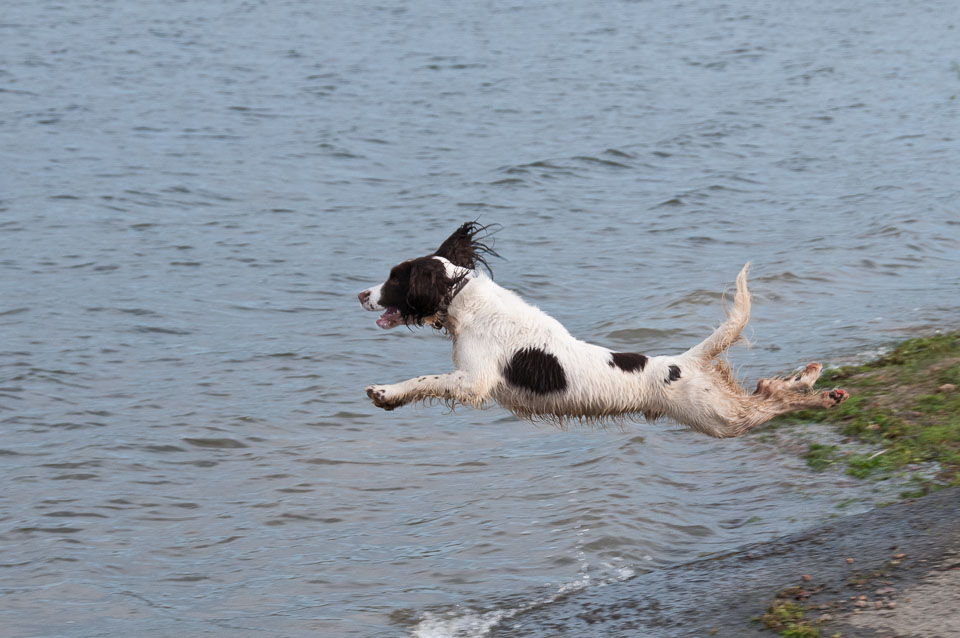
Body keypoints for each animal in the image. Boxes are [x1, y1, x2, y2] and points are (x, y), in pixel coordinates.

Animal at [358, 222, 848, 438]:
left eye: (394, 279)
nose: (361, 294)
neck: (465, 301)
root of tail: (685, 361)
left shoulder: (473, 381)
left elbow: (424, 380)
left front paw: (385, 393)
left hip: (719, 419)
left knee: (768, 401)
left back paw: (823, 396)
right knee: (766, 388)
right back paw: (815, 379)